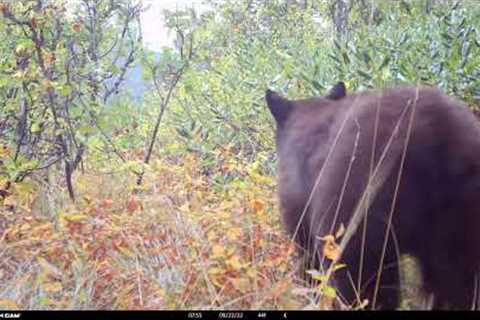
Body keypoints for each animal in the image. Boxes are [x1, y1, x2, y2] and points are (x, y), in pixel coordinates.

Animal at [266, 82, 480, 310]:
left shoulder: (299, 205)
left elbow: (309, 260)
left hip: (359, 207)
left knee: (361, 280)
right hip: (462, 212)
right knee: (459, 280)